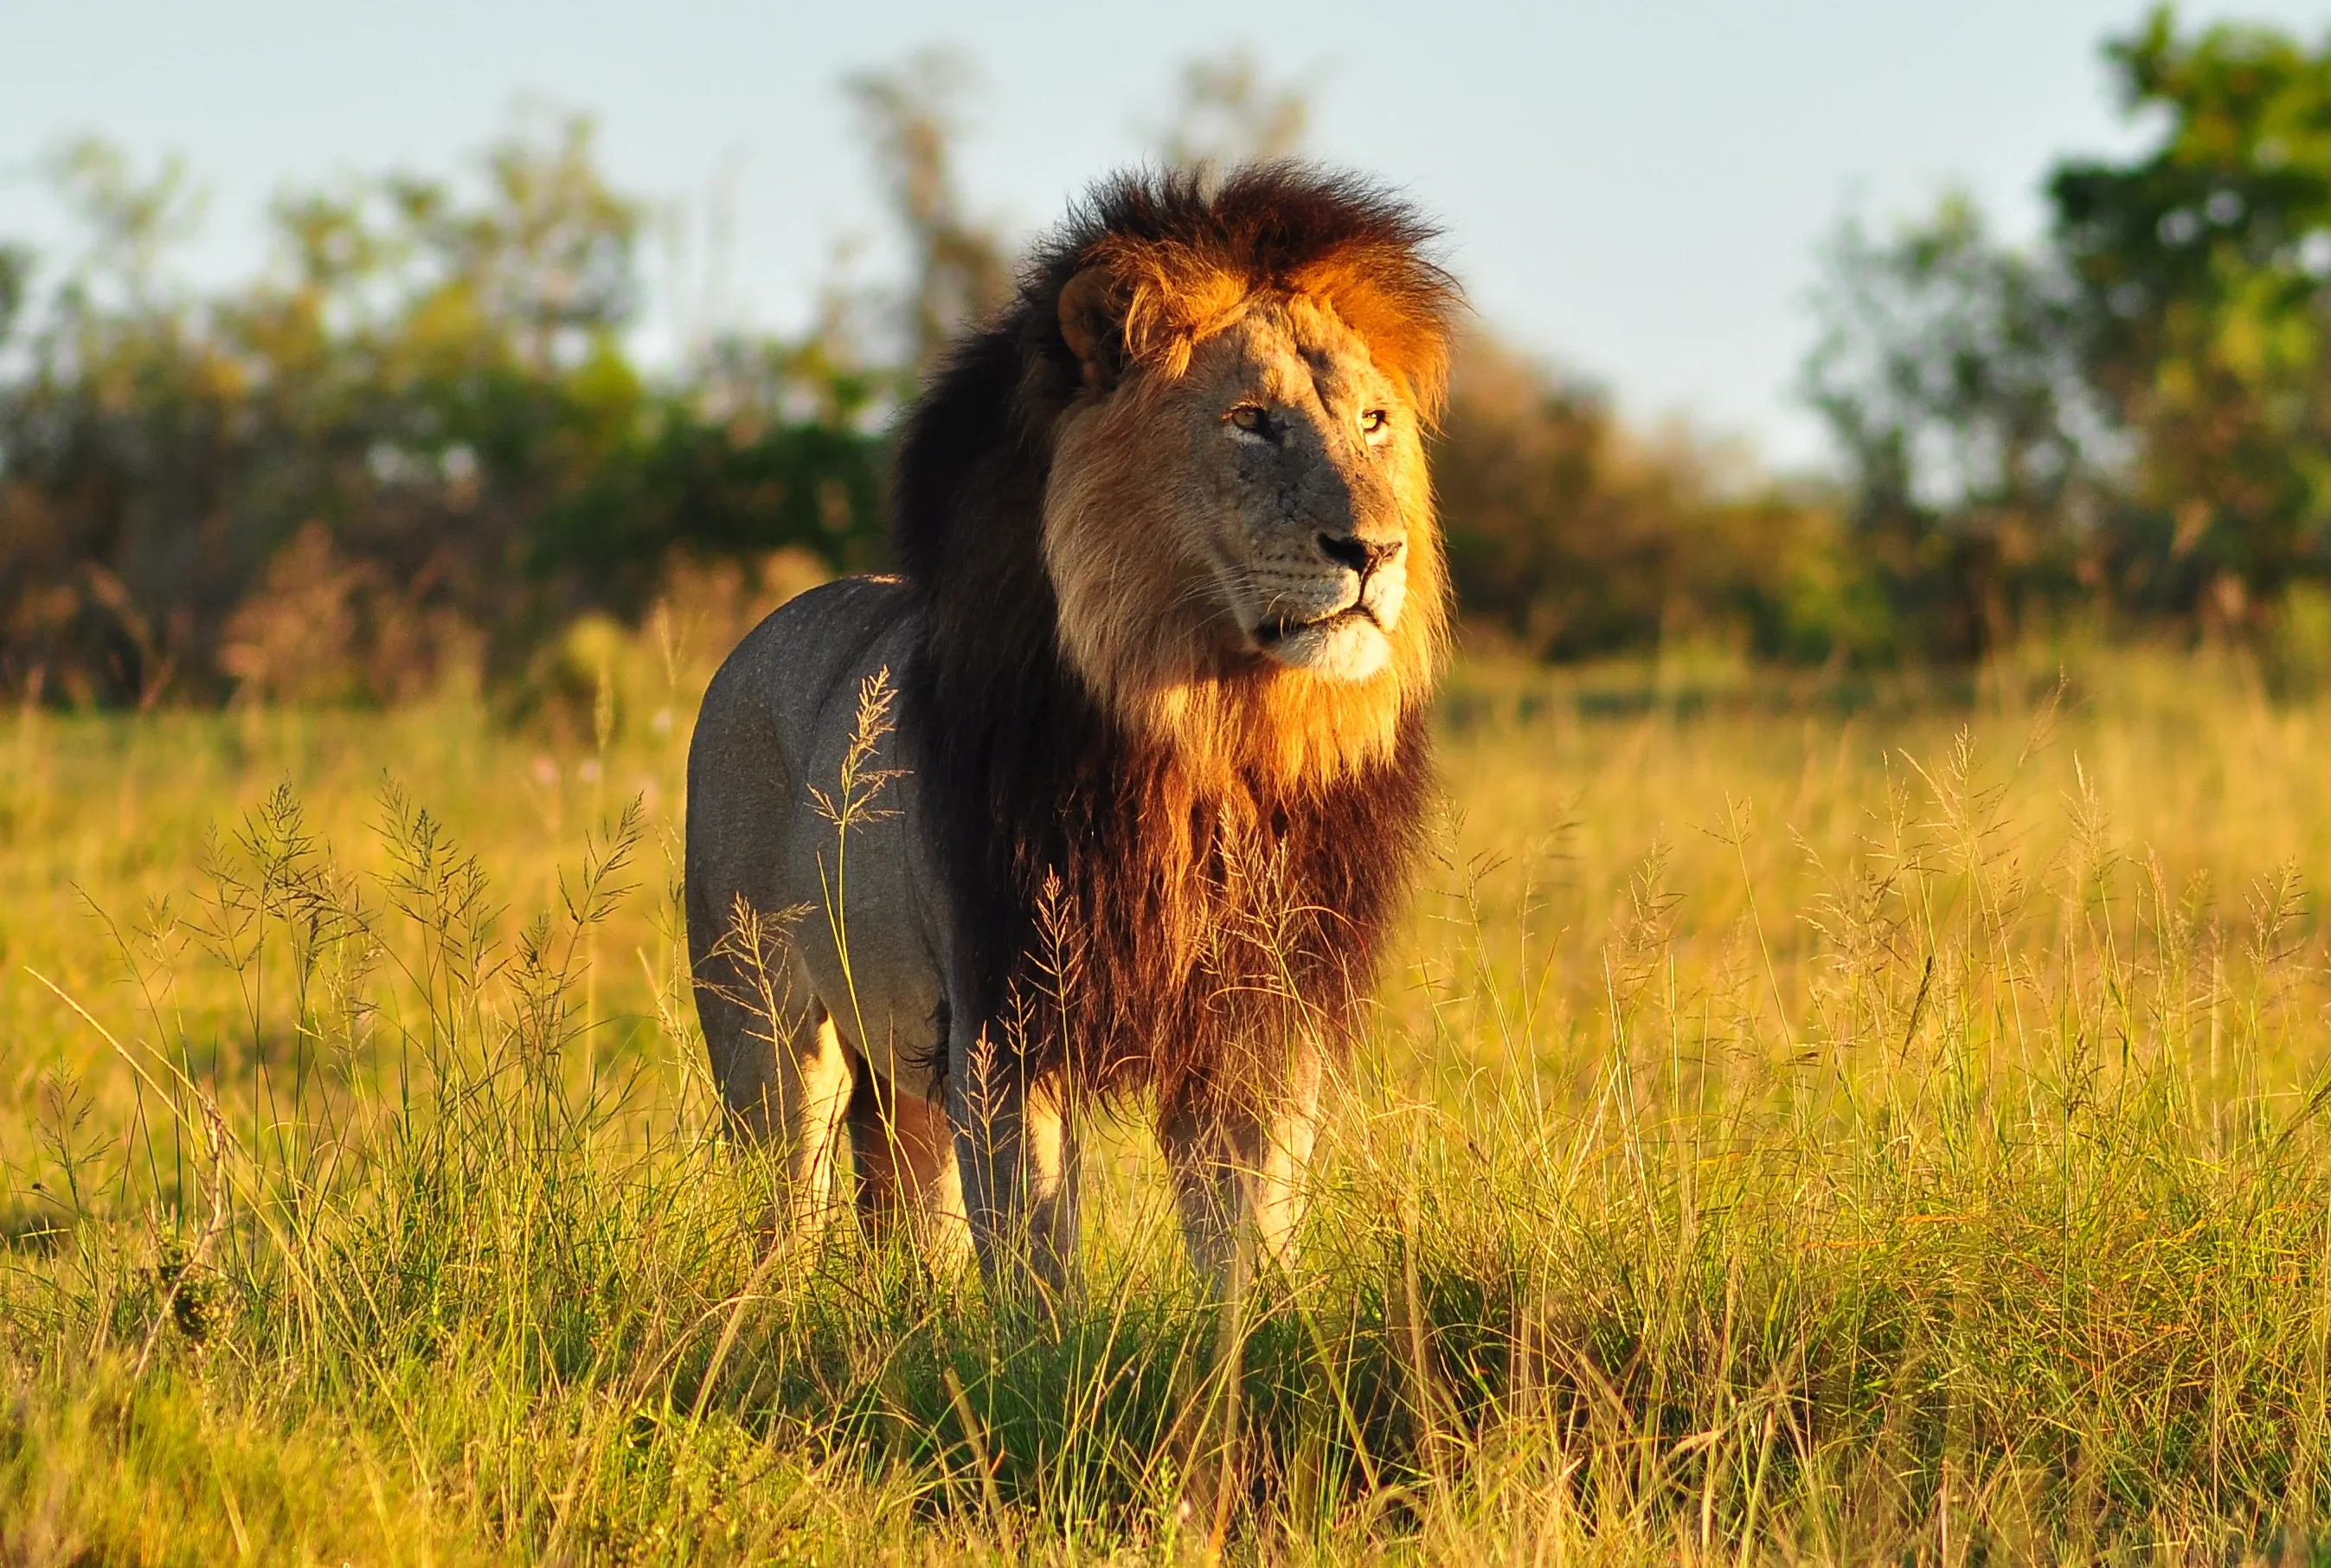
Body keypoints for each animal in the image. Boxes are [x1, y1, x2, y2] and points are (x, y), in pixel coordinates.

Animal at [685, 165, 1459, 1289]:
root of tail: (756, 638)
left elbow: (1248, 1241)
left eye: (1372, 421)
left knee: (919, 1224)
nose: (1375, 550)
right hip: (766, 1031)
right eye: (1253, 420)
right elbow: (1039, 1261)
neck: (1213, 728)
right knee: (788, 1204)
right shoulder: (1003, 1019)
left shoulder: (1261, 1021)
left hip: (904, 1072)